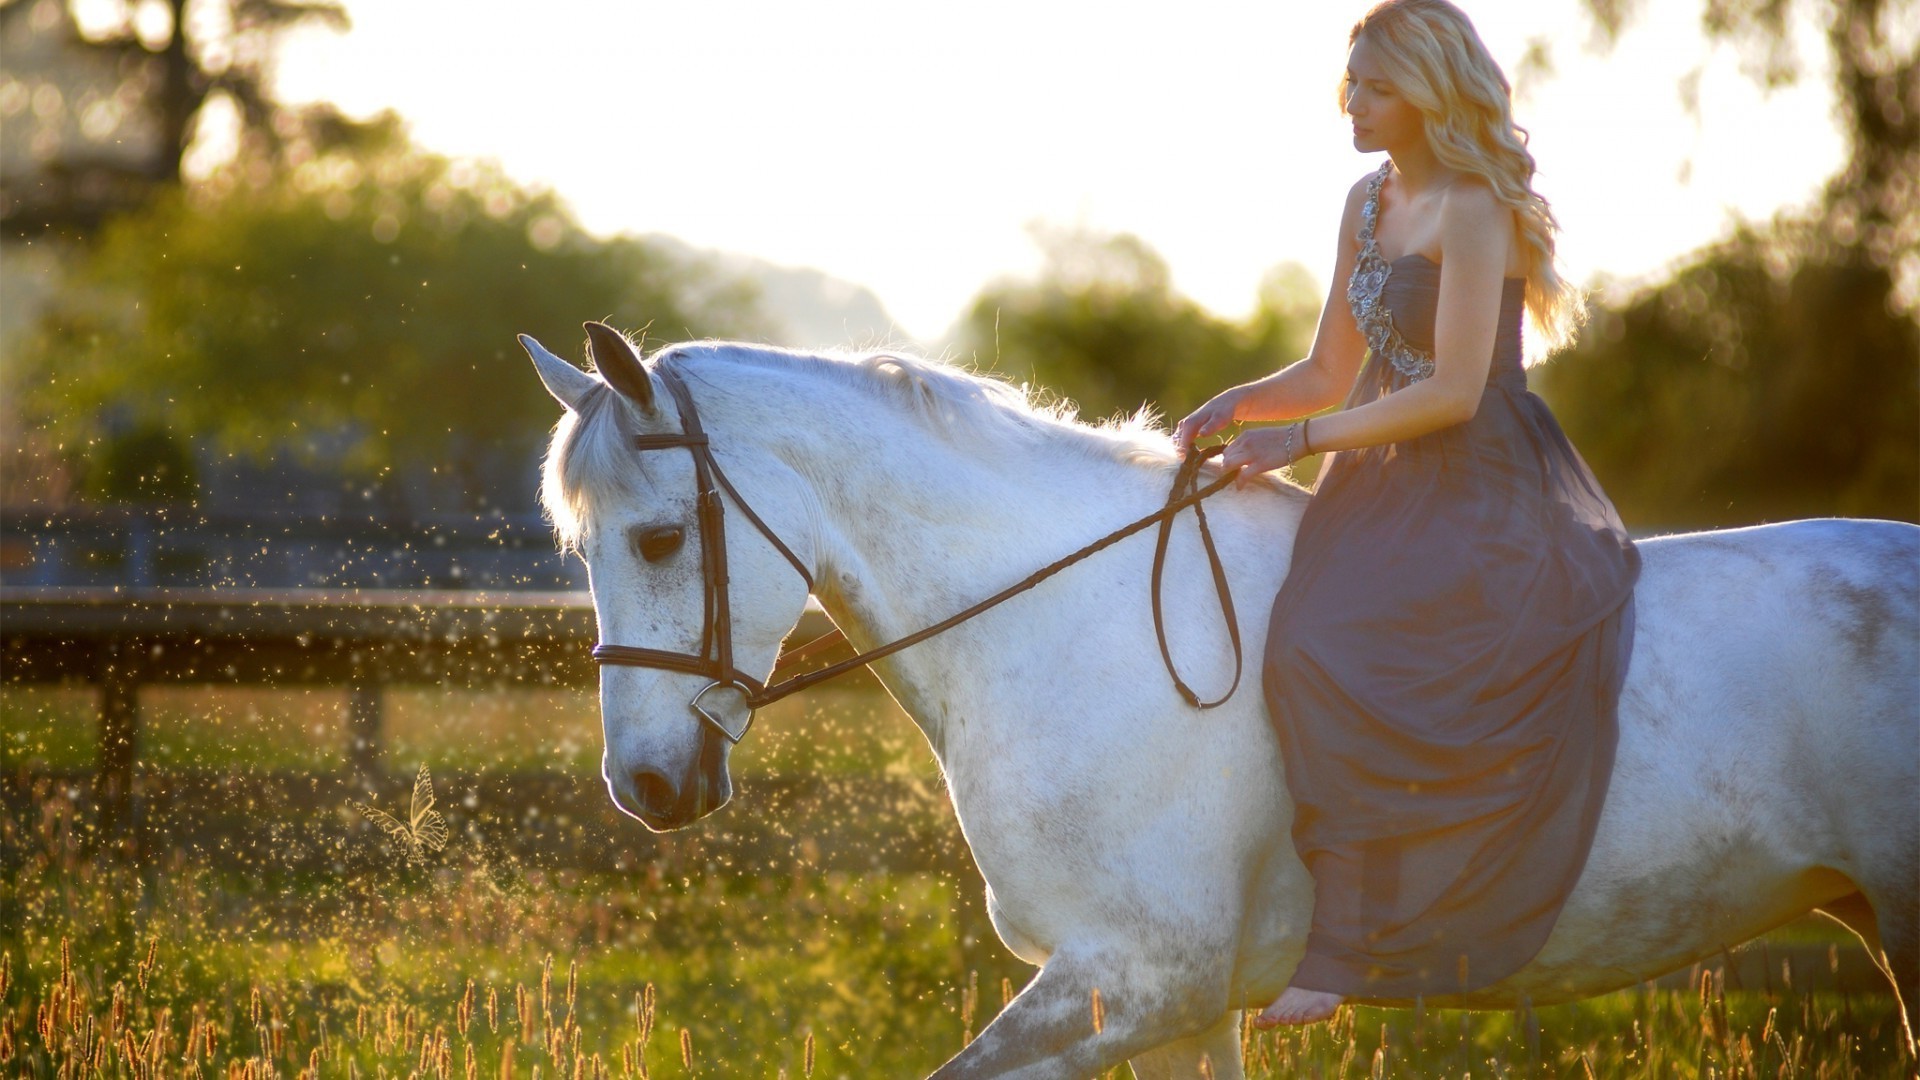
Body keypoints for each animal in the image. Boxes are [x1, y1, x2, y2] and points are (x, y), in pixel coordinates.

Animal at [518, 328, 1912, 1076]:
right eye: (577, 551)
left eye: (656, 541)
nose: (646, 789)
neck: (1069, 632)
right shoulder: (1177, 1008)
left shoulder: (1138, 976)